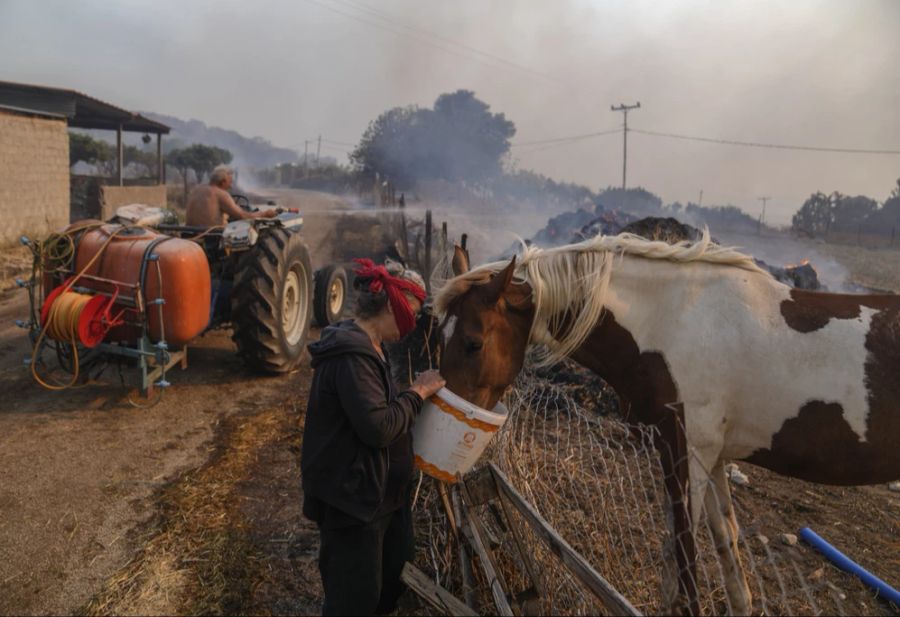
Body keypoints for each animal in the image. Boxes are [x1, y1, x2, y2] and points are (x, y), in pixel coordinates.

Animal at [436, 230, 900, 612]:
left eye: (473, 343)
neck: (675, 321)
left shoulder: (687, 455)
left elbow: (683, 572)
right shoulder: (709, 457)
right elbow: (726, 552)